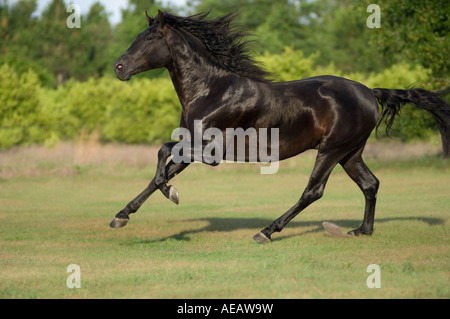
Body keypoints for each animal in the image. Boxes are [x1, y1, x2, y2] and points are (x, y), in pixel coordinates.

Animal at [110, 11, 448, 244]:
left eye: (149, 38)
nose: (119, 68)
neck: (211, 90)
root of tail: (370, 92)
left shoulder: (209, 151)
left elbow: (161, 155)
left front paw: (172, 194)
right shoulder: (191, 148)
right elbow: (161, 172)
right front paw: (121, 216)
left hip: (331, 150)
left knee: (313, 191)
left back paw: (267, 231)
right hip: (350, 153)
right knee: (370, 184)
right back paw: (361, 230)